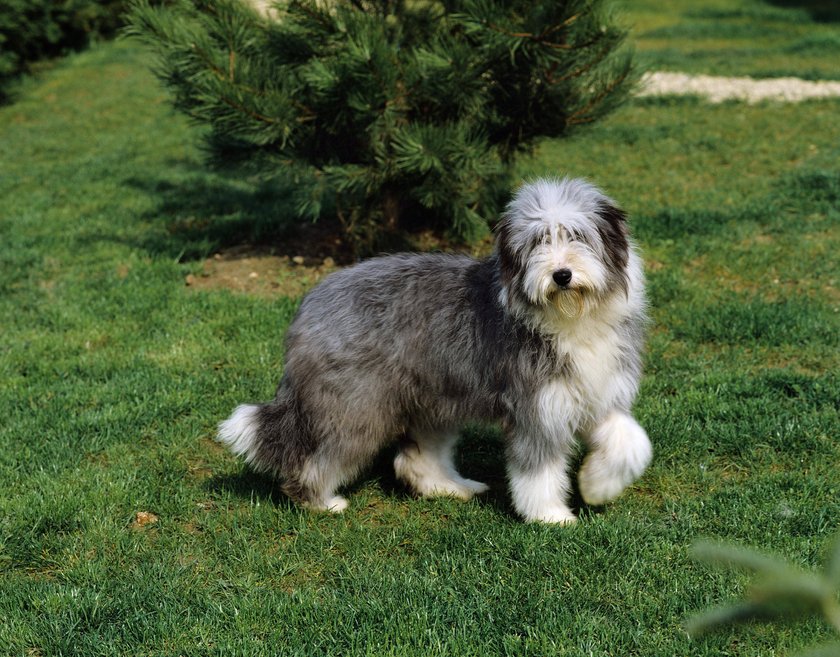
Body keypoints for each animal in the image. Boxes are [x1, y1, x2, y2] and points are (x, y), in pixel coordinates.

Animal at [217, 176, 648, 524]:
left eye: (577, 235)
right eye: (538, 242)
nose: (561, 275)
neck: (572, 318)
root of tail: (311, 302)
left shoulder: (598, 389)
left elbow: (632, 442)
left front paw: (596, 485)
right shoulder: (536, 406)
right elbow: (538, 470)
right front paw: (551, 517)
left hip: (432, 396)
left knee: (415, 458)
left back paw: (453, 487)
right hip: (355, 403)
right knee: (319, 455)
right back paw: (321, 501)